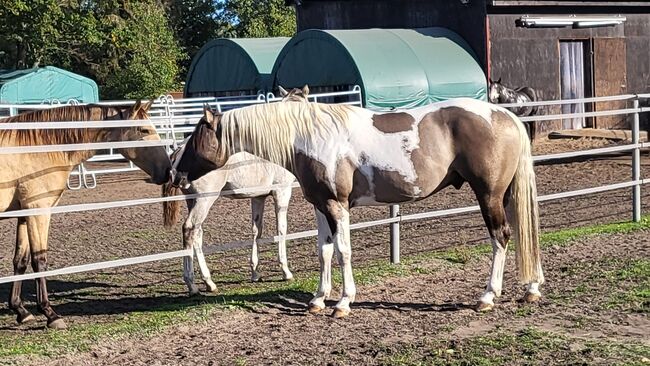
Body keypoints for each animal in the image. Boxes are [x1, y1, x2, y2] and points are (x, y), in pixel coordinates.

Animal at [0, 101, 171, 328]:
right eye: (144, 130)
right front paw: (50, 314)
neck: (39, 147)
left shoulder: (25, 214)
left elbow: (20, 260)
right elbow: (40, 261)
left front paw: (20, 310)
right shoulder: (39, 211)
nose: (168, 170)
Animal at [168, 97, 540, 318]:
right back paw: (531, 290)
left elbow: (343, 251)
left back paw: (488, 296)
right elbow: (324, 251)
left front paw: (344, 302)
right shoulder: (320, 206)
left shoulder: (337, 205)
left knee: (501, 237)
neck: (310, 138)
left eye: (197, 137)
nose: (176, 174)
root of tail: (505, 115)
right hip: (505, 194)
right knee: (522, 234)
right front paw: (318, 300)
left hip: (489, 194)